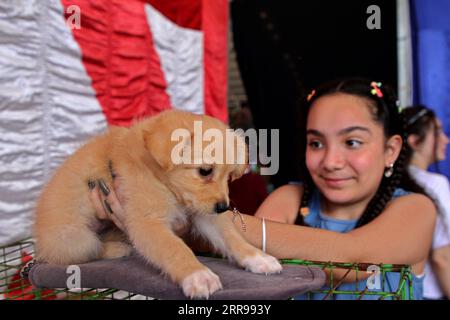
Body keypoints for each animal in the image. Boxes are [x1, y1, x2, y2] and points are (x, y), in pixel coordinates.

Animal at [34, 110, 282, 300]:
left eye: (229, 176)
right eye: (204, 171)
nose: (222, 208)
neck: (163, 183)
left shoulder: (203, 214)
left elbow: (232, 239)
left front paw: (258, 258)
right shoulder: (148, 223)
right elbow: (175, 248)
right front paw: (198, 275)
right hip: (76, 239)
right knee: (82, 253)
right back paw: (115, 251)